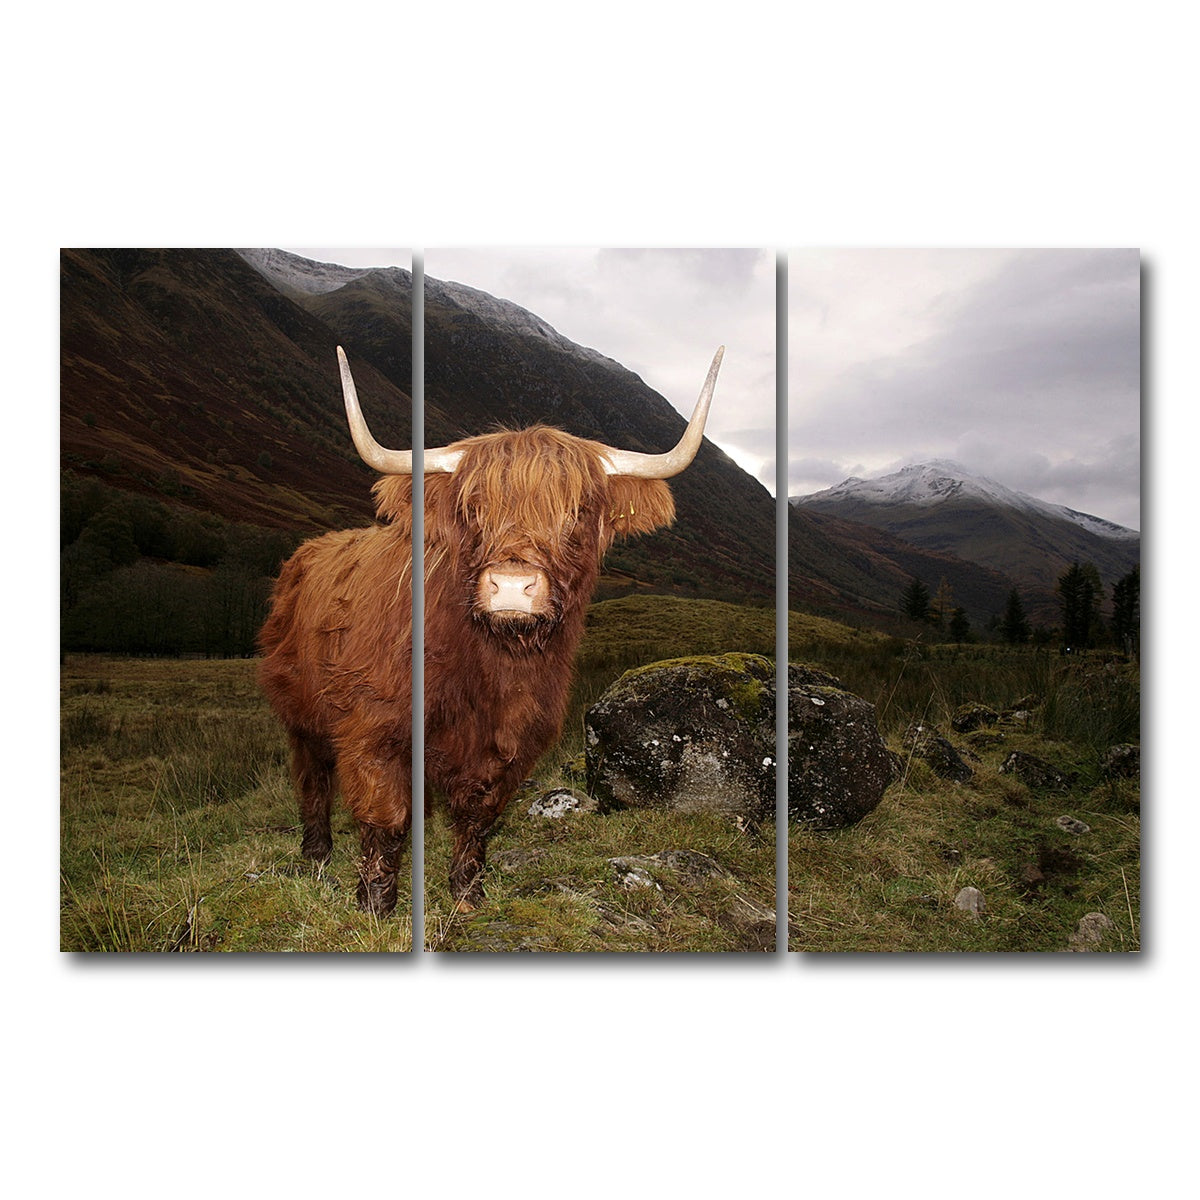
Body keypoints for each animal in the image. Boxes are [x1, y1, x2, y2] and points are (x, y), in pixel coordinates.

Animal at [258, 345, 724, 915]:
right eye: (473, 507)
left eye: (577, 511)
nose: (512, 586)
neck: (489, 667)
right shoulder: (372, 728)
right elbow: (384, 818)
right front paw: (375, 904)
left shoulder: (511, 740)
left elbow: (478, 816)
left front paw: (466, 895)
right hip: (300, 713)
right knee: (312, 779)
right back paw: (316, 853)